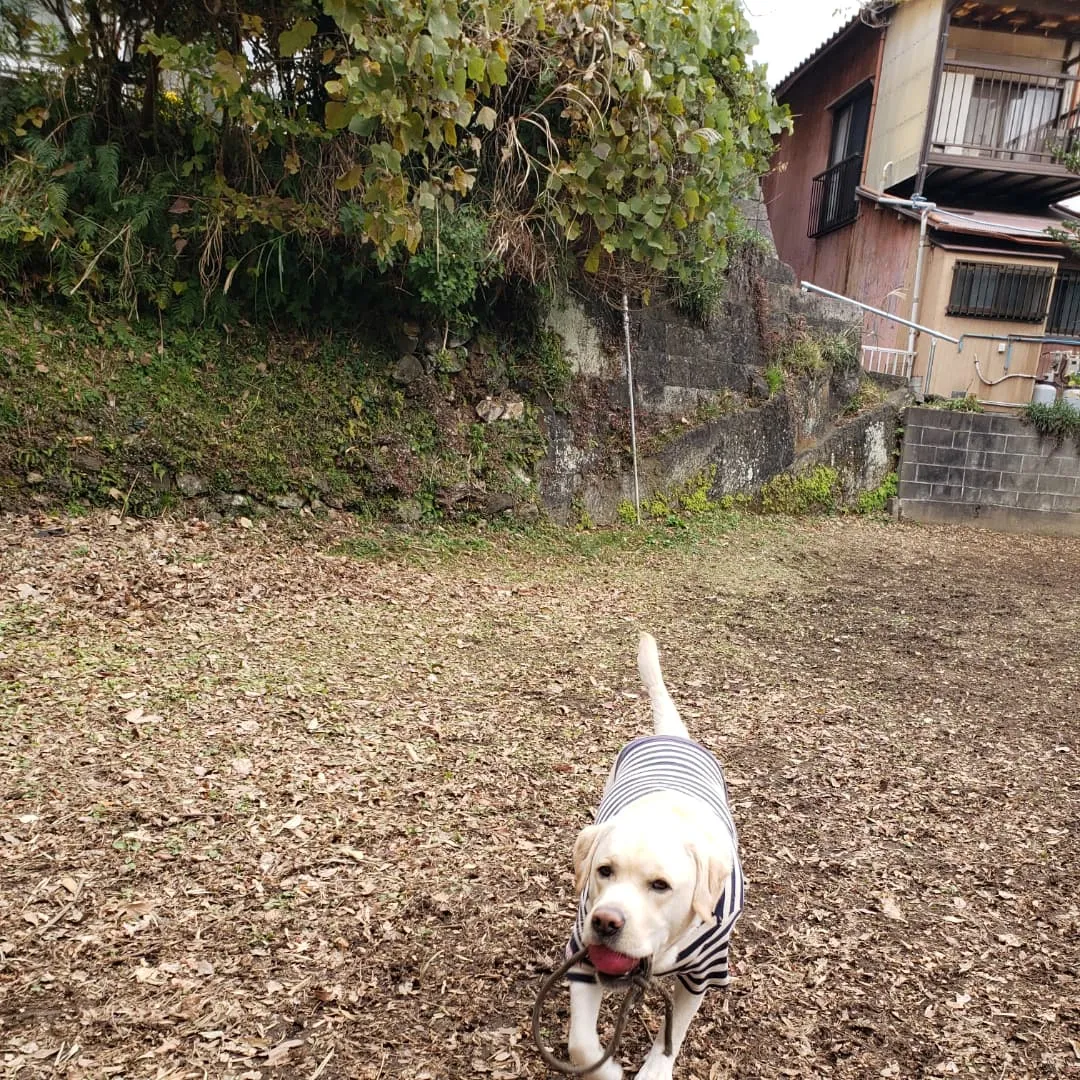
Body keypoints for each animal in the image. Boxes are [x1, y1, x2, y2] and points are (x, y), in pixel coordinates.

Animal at [565, 630, 743, 1080]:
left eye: (660, 885)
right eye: (604, 871)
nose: (605, 922)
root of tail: (672, 736)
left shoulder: (702, 973)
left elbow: (672, 1033)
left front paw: (655, 1069)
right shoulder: (583, 958)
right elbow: (581, 1046)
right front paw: (607, 1071)